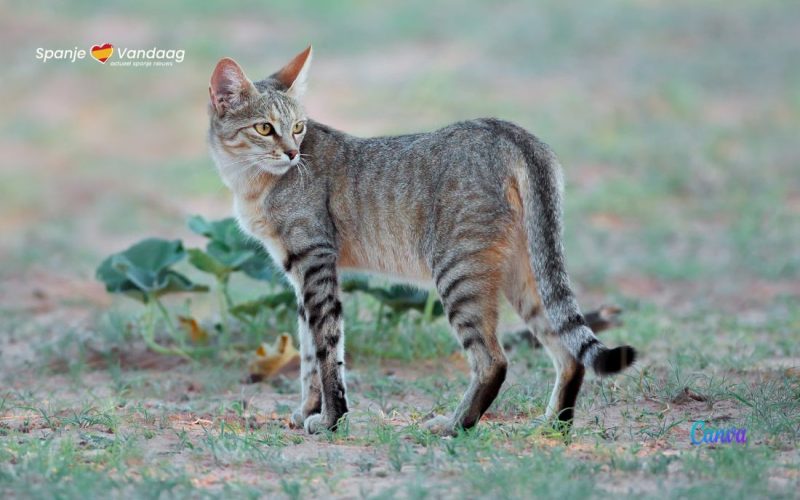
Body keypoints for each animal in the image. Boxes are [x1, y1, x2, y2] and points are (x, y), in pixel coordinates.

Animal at [206, 47, 636, 438]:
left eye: (298, 127)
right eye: (265, 128)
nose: (293, 153)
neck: (251, 183)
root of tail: (509, 132)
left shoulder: (315, 263)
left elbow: (327, 351)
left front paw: (330, 420)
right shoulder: (298, 274)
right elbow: (309, 352)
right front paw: (307, 411)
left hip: (457, 272)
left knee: (494, 361)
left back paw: (455, 424)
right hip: (528, 276)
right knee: (569, 354)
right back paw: (553, 427)